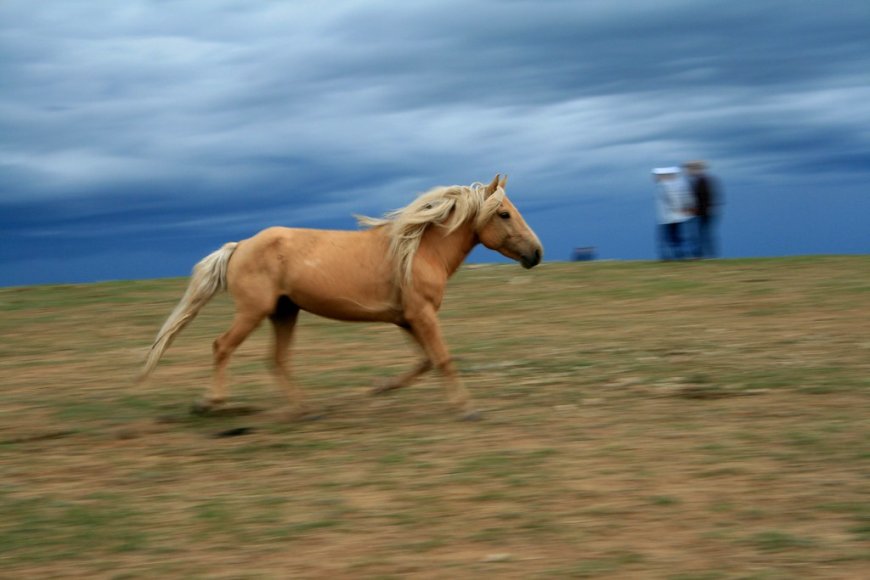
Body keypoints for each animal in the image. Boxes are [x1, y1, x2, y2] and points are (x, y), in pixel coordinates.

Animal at [140, 174, 540, 420]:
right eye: (504, 213)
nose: (536, 253)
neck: (418, 251)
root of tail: (239, 246)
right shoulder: (422, 314)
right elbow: (442, 359)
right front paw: (467, 408)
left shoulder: (406, 318)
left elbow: (425, 361)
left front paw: (380, 387)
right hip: (255, 311)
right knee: (222, 346)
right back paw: (210, 403)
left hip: (284, 312)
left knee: (277, 359)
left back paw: (305, 409)